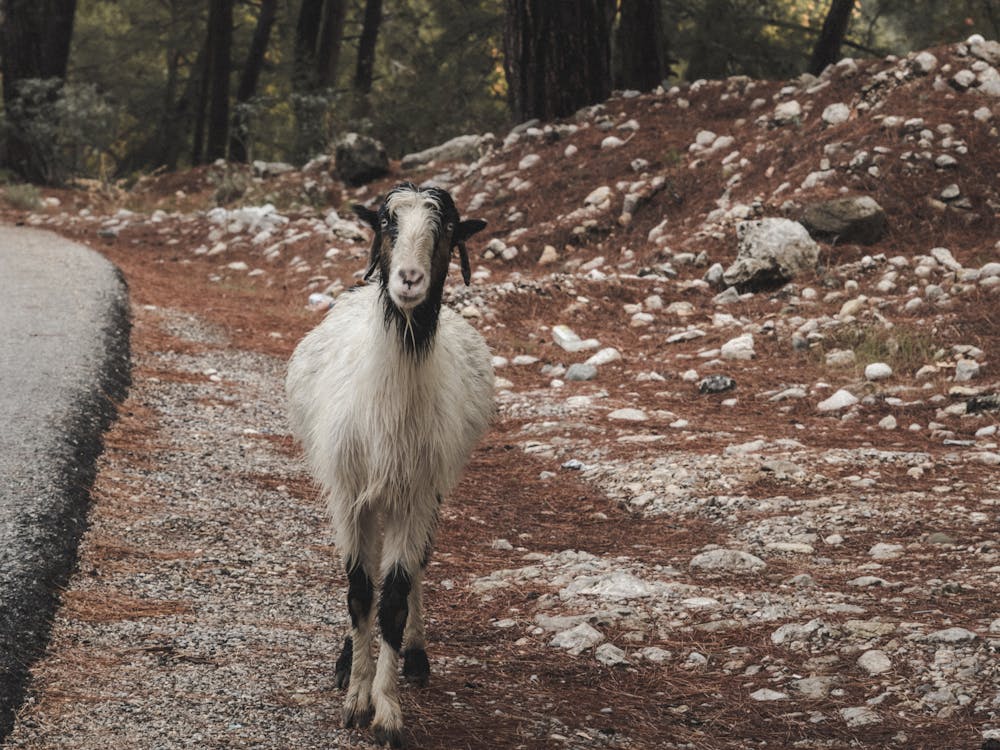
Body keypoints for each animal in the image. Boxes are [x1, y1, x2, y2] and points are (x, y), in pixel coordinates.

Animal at [285, 183, 493, 747]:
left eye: (446, 230)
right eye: (386, 223)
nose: (408, 280)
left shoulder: (415, 491)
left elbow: (394, 600)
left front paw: (387, 710)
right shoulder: (348, 491)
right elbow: (360, 592)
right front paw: (355, 697)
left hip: (426, 492)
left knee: (415, 565)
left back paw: (414, 658)